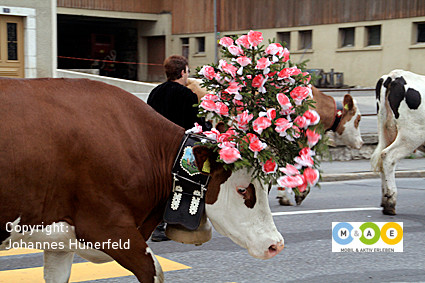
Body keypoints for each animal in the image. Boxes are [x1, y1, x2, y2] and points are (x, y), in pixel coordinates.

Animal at [0, 78, 284, 283]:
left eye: (268, 186)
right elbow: (154, 271)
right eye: (242, 189)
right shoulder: (107, 227)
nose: (276, 245)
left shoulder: (59, 240)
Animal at [372, 70, 424, 215]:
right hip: (411, 135)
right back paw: (390, 202)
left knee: (382, 159)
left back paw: (385, 202)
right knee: (388, 156)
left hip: (386, 131)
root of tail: (393, 75)